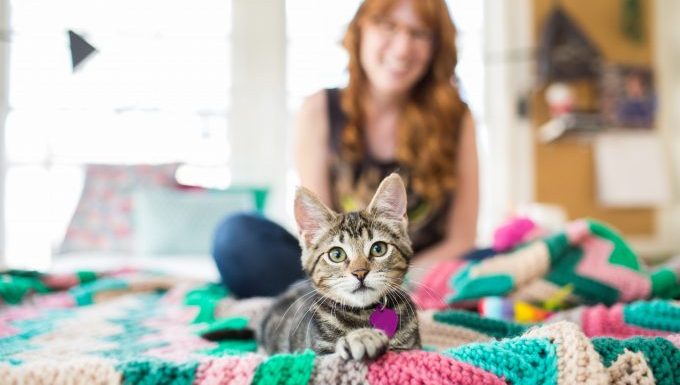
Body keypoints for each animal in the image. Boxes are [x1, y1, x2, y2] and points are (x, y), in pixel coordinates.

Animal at [258, 174, 420, 360]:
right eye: (336, 254)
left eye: (378, 249)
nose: (360, 273)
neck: (363, 314)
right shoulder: (312, 354)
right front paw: (362, 337)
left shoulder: (415, 348)